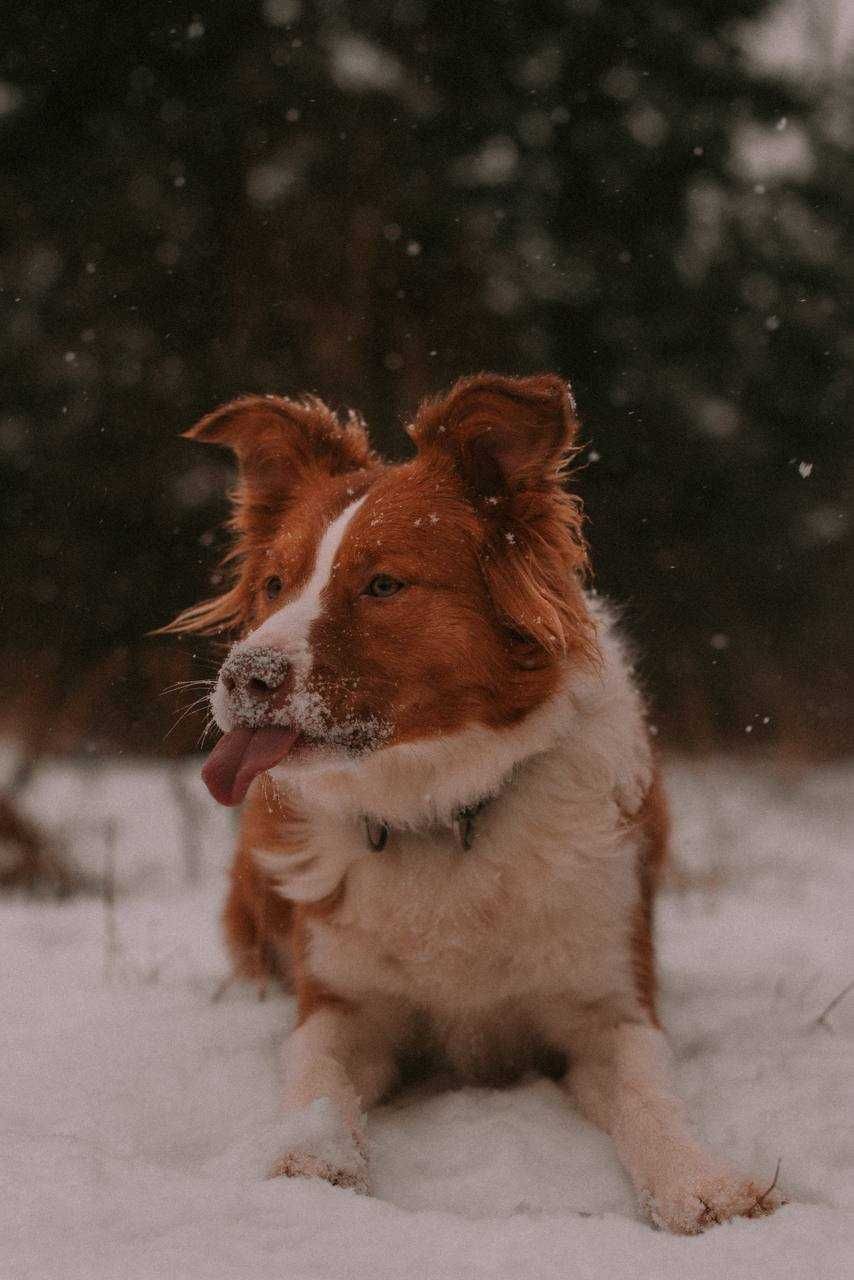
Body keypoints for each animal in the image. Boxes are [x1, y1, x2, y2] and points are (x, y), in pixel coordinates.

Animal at [169, 373, 788, 1233]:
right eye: (273, 584)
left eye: (383, 584)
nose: (241, 678)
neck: (439, 810)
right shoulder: (342, 1002)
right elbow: (316, 1074)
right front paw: (312, 1160)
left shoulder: (609, 1005)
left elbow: (650, 1096)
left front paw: (701, 1182)